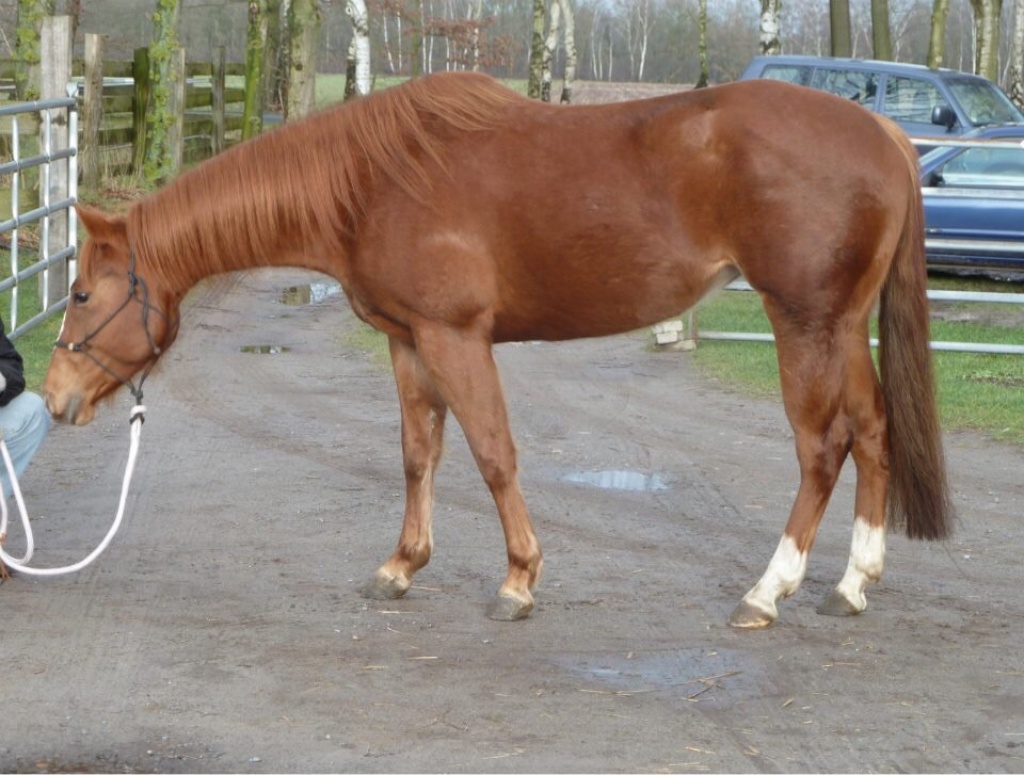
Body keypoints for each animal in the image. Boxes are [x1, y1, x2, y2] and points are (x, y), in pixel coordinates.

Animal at [43, 72, 953, 628]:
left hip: (804, 324)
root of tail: (883, 132)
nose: (54, 397)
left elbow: (492, 453)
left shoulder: (456, 337)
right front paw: (402, 564)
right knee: (874, 434)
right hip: (843, 327)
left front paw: (518, 578)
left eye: (82, 293)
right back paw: (853, 582)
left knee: (822, 447)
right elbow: (420, 453)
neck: (372, 183)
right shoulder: (409, 342)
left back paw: (770, 590)